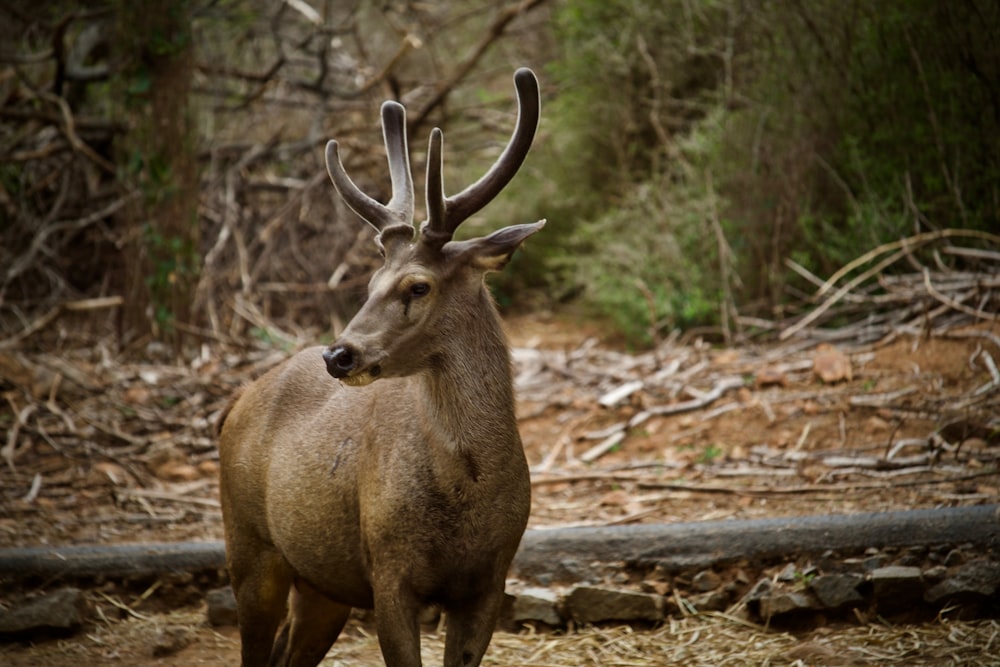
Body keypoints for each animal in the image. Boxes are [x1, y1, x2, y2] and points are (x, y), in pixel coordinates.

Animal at [218, 69, 544, 667]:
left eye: (418, 286)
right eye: (369, 283)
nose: (338, 354)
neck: (467, 495)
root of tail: (235, 401)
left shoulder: (491, 581)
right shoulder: (390, 572)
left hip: (322, 583)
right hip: (249, 546)